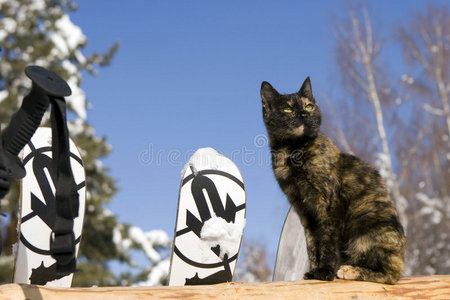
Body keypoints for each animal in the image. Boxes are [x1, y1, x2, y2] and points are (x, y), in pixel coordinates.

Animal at [260, 77, 404, 284]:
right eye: (287, 109)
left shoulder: (329, 205)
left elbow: (327, 242)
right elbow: (313, 245)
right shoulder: (305, 212)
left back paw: (349, 270)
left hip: (364, 228)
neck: (293, 152)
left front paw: (325, 272)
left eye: (309, 106)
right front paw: (314, 271)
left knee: (390, 275)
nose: (304, 114)